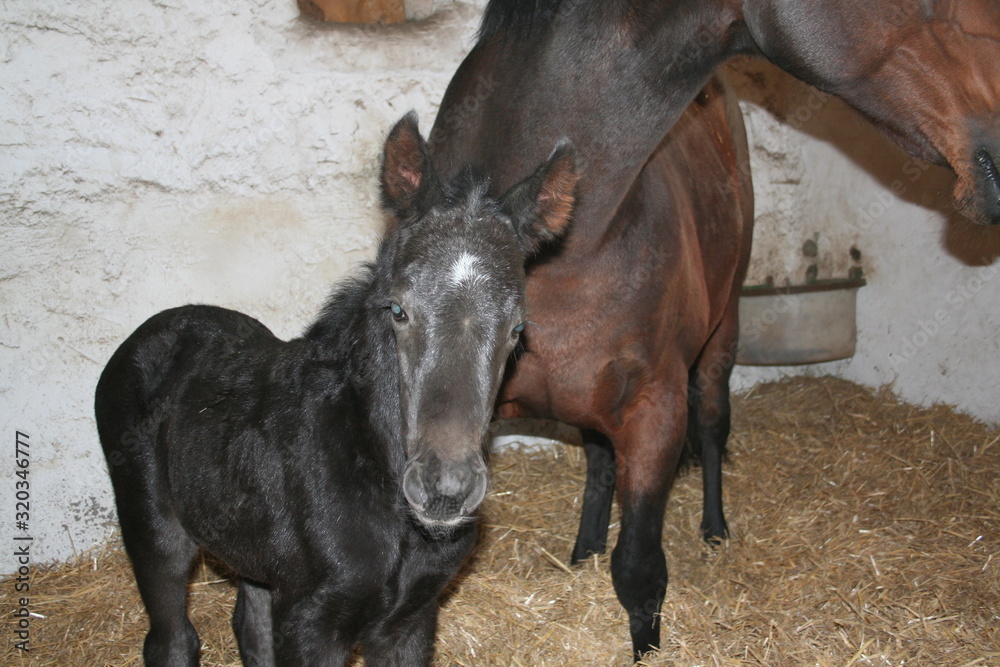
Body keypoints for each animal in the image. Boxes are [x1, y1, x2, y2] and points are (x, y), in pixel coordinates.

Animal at [94, 113, 578, 667]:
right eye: (398, 309)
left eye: (517, 328)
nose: (445, 488)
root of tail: (154, 330)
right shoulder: (311, 624)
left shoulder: (411, 621)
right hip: (154, 531)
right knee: (171, 637)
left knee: (250, 623)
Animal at [426, 0, 1000, 659]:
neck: (560, 253)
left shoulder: (655, 413)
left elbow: (640, 572)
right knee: (599, 463)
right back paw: (583, 552)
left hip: (721, 336)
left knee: (711, 425)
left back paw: (714, 530)